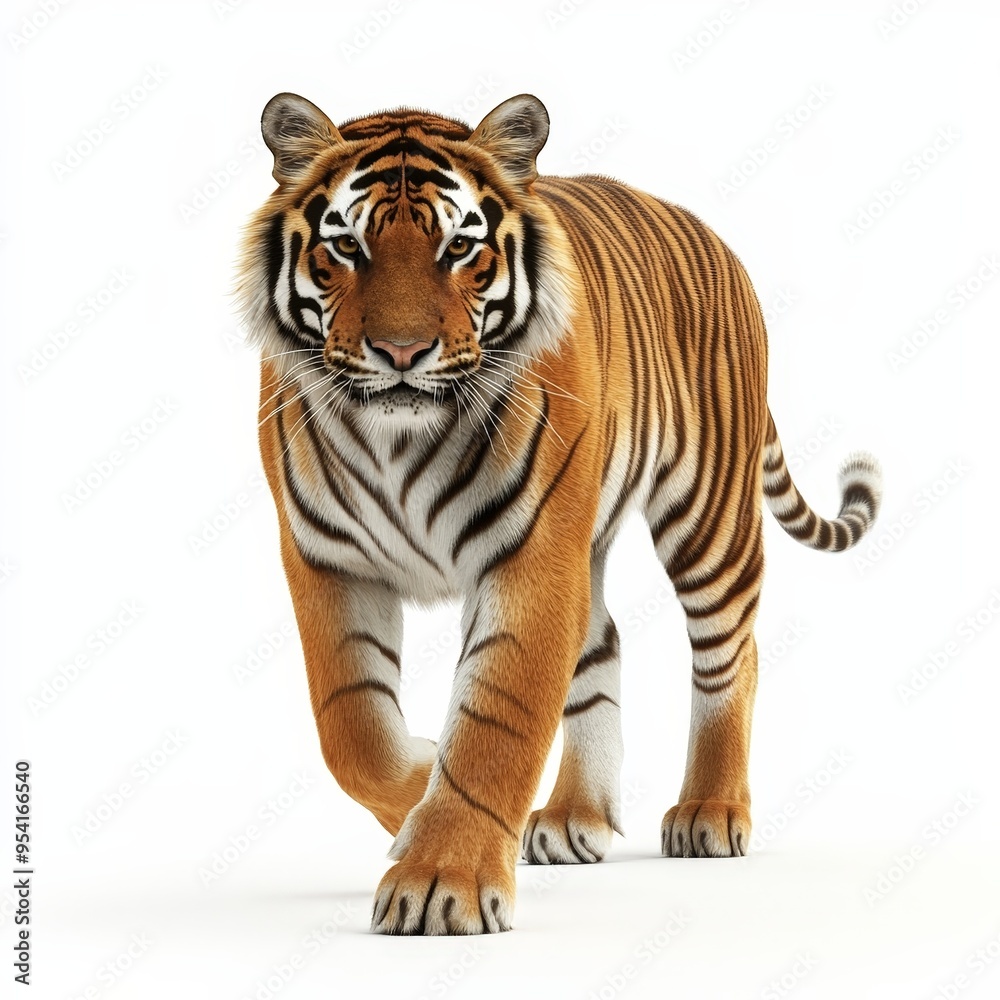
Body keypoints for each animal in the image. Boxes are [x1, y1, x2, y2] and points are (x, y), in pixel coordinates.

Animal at [236, 91, 882, 936]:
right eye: (346, 245)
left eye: (459, 247)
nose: (402, 353)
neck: (399, 438)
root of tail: (714, 237)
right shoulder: (326, 558)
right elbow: (351, 729)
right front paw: (420, 798)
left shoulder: (532, 556)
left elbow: (497, 723)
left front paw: (442, 883)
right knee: (602, 644)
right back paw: (579, 816)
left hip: (708, 513)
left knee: (730, 652)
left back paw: (710, 811)